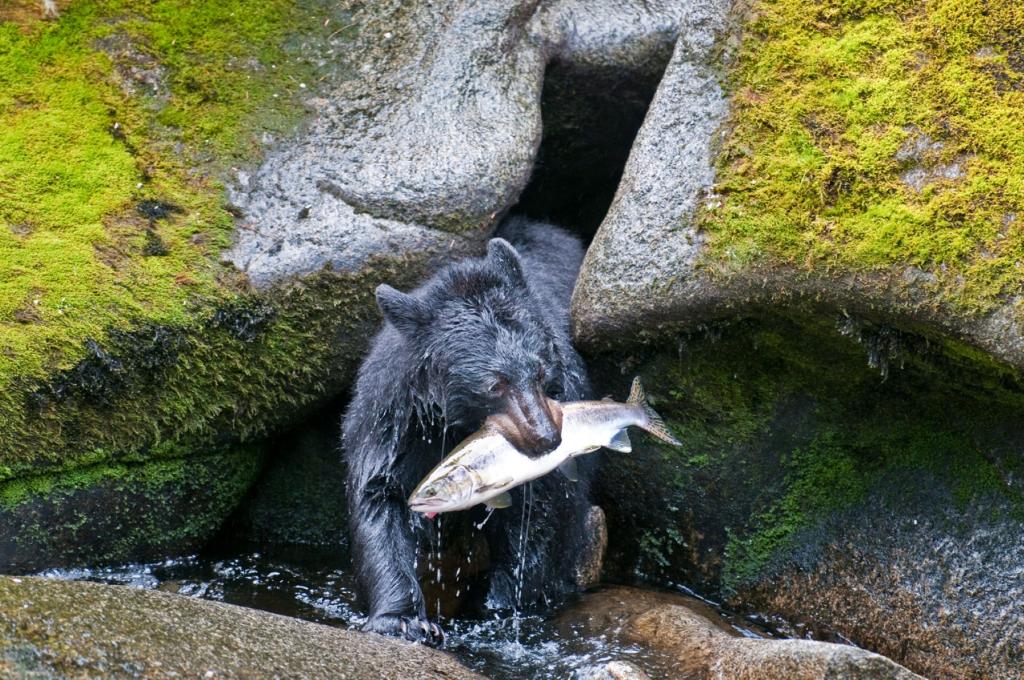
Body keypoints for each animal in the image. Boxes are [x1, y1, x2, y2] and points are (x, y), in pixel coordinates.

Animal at [342, 216, 595, 643]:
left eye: (540, 370)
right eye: (495, 385)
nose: (546, 438)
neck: (460, 424)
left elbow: (544, 511)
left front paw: (501, 602)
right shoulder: (397, 423)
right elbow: (379, 498)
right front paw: (403, 619)